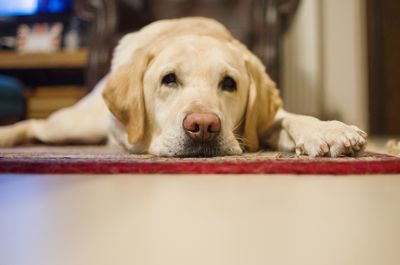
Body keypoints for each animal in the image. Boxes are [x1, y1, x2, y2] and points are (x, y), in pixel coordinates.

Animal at [0, 17, 366, 157]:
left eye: (229, 83)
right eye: (169, 79)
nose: (203, 126)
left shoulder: (261, 125)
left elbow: (292, 118)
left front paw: (328, 131)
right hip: (74, 126)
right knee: (34, 125)